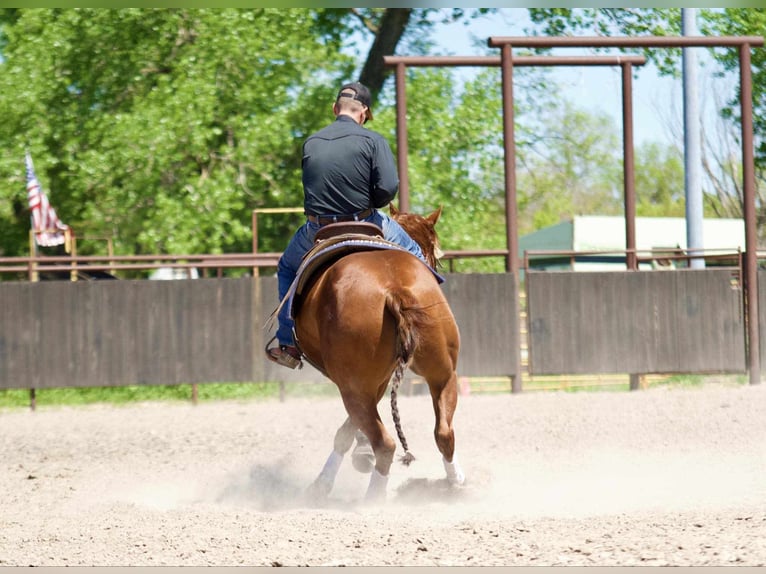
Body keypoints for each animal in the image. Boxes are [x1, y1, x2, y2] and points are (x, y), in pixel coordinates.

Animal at [292, 205, 464, 502]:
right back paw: (456, 483)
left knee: (384, 442)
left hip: (354, 387)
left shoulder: (367, 382)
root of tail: (394, 288)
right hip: (442, 374)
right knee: (444, 432)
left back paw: (373, 496)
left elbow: (346, 432)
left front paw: (325, 482)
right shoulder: (380, 380)